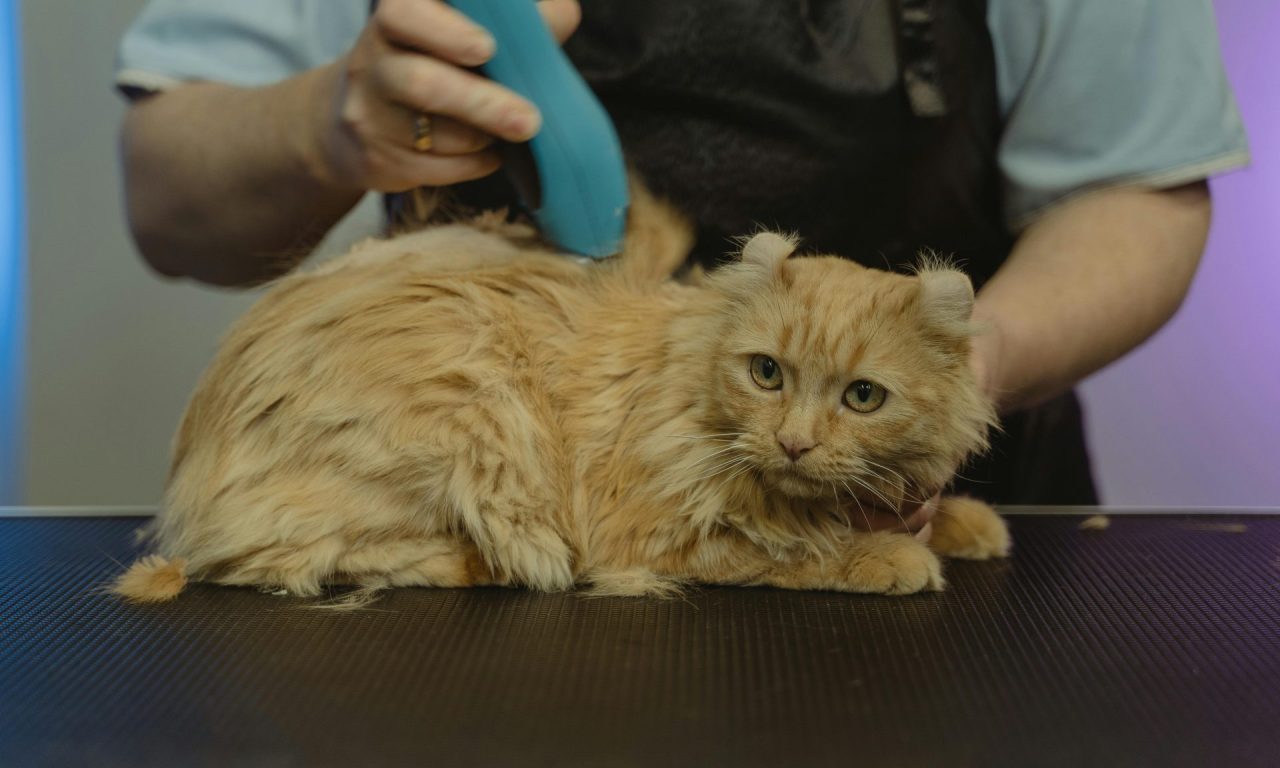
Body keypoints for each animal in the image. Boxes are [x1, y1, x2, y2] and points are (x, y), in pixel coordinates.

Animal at [112, 192, 1008, 606]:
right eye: (767, 374)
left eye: (863, 397)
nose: (794, 442)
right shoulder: (654, 536)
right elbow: (790, 550)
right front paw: (887, 556)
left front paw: (967, 524)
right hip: (478, 420)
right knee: (280, 560)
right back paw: (475, 563)